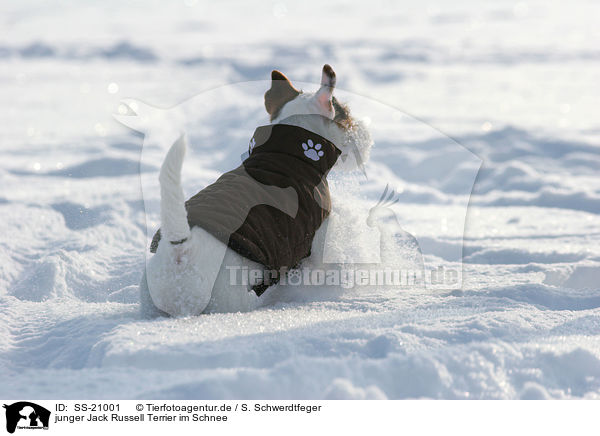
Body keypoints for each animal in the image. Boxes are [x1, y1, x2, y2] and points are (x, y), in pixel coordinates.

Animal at [141, 64, 372, 316]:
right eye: (346, 115)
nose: (366, 135)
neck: (288, 154)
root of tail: (182, 252)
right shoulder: (319, 237)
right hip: (233, 297)